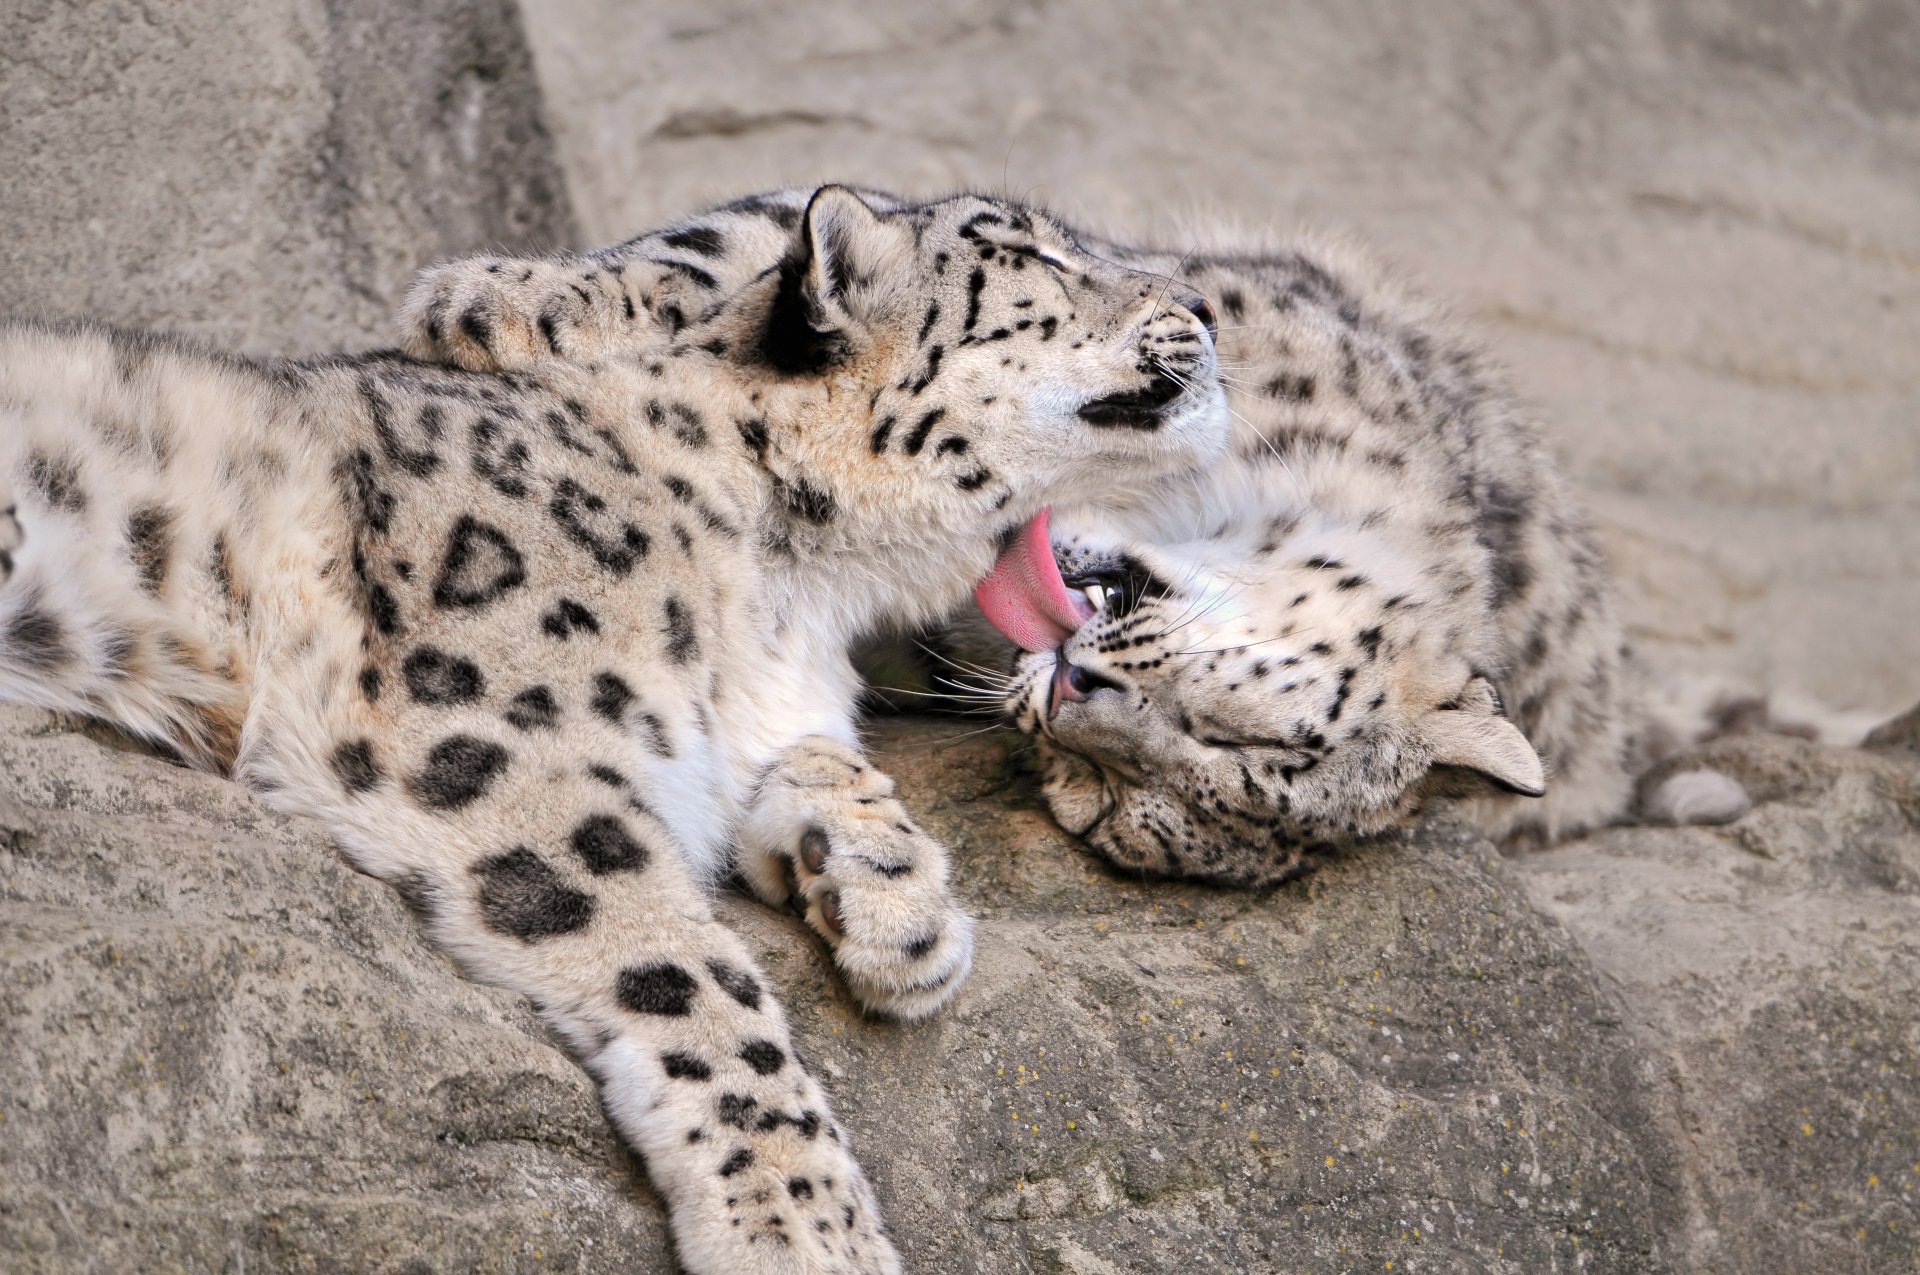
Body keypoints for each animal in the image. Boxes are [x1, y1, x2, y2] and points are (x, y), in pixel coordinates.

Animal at [0, 185, 1224, 1274]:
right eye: (1035, 255)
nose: (1206, 311)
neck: (799, 598)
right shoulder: (496, 738)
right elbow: (691, 976)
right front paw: (804, 1224)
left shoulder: (746, 724)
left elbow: (817, 759)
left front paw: (899, 907)